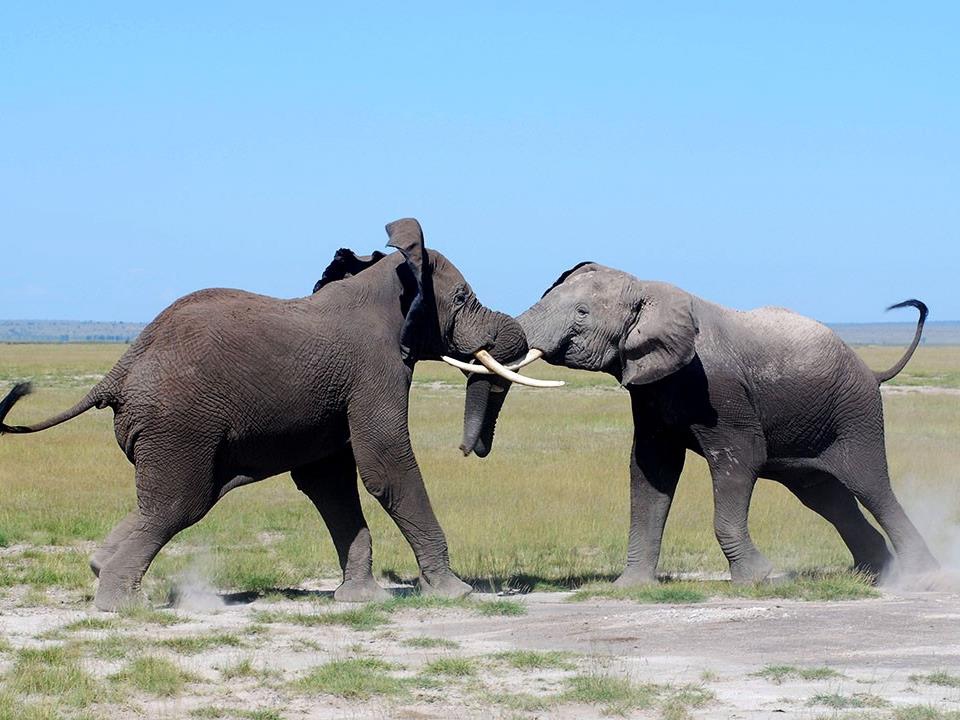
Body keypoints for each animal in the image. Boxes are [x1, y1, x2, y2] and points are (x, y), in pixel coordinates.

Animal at [0, 218, 548, 608]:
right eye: (462, 298)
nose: (470, 449)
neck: (386, 283)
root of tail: (118, 369)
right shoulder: (376, 369)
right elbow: (385, 466)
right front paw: (456, 593)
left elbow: (328, 481)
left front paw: (360, 599)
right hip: (179, 425)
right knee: (178, 505)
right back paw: (121, 605)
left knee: (164, 504)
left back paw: (100, 569)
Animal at [476, 262, 940, 584]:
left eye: (582, 312)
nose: (475, 449)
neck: (647, 292)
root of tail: (872, 371)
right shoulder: (651, 389)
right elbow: (650, 469)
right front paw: (631, 587)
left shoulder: (719, 390)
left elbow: (739, 461)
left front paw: (759, 579)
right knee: (825, 496)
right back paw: (875, 573)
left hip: (856, 413)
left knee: (870, 486)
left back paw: (921, 574)